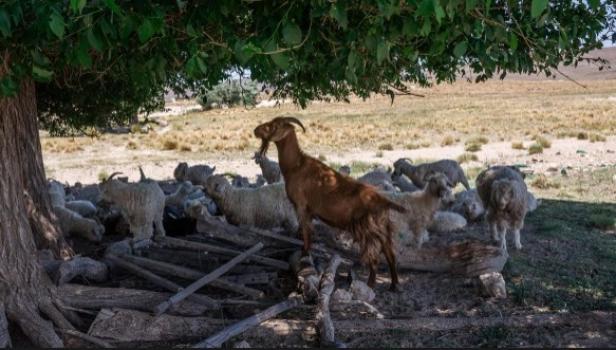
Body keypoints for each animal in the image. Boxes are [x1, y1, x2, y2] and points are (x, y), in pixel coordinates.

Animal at [253, 117, 406, 290]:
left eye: (275, 125)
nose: (256, 130)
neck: (296, 165)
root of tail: (381, 200)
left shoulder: (301, 206)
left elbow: (306, 232)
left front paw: (305, 252)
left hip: (367, 230)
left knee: (373, 258)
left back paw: (370, 284)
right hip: (382, 228)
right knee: (390, 254)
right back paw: (394, 284)